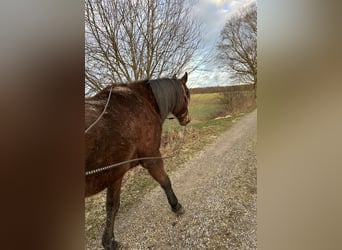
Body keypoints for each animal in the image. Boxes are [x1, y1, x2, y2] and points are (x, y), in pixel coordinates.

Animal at [85, 73, 190, 250]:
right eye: (187, 94)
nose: (187, 120)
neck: (141, 101)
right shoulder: (152, 156)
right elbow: (165, 181)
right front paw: (176, 206)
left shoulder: (116, 173)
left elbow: (112, 206)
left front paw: (109, 241)